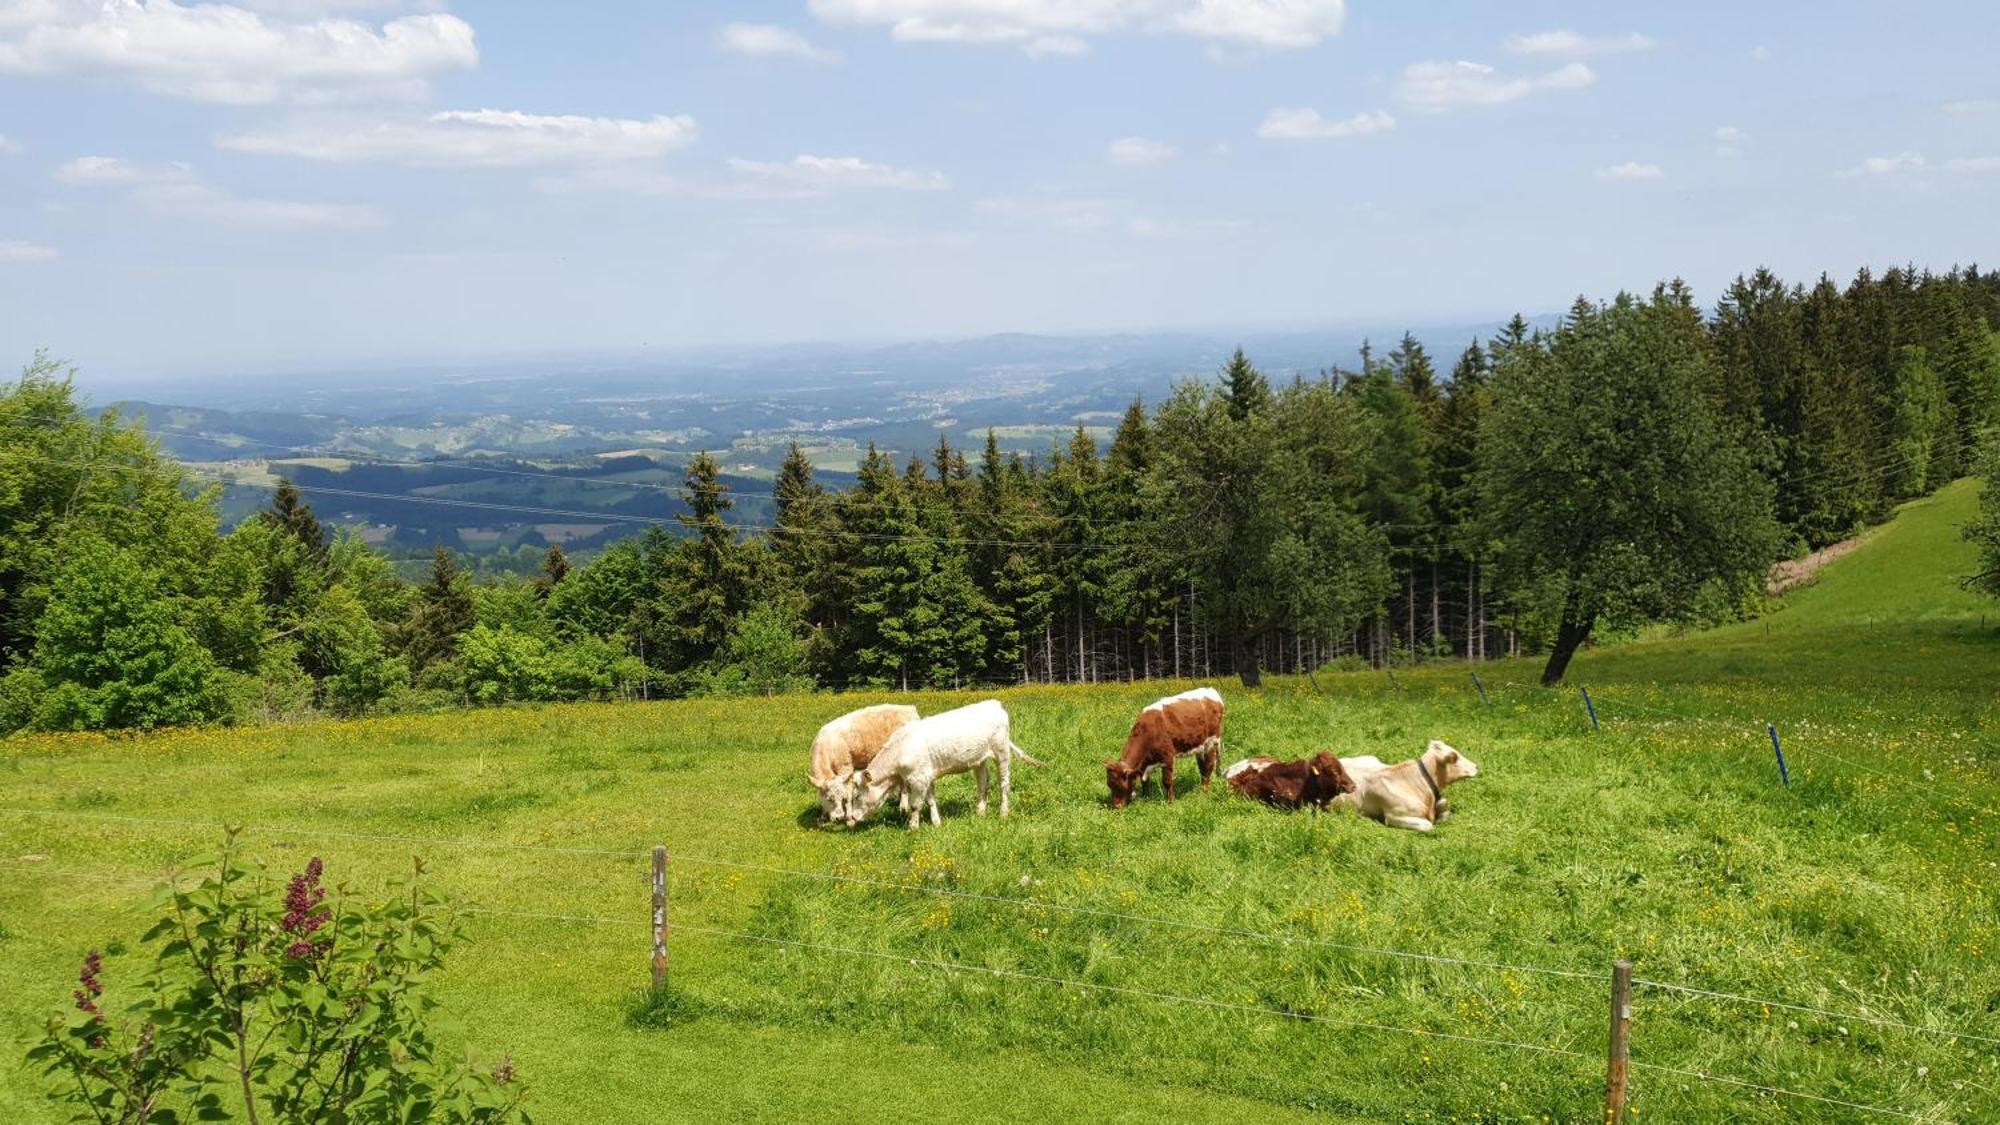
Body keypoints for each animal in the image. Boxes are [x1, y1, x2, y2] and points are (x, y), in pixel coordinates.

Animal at [844, 696, 1048, 828]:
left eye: (857, 796)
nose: (851, 818)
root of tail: (994, 704)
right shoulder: (926, 776)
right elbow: (931, 800)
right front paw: (936, 823)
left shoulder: (918, 779)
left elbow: (915, 805)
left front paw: (913, 827)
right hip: (979, 760)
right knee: (983, 784)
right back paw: (980, 812)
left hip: (1002, 752)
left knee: (1003, 784)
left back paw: (1003, 813)